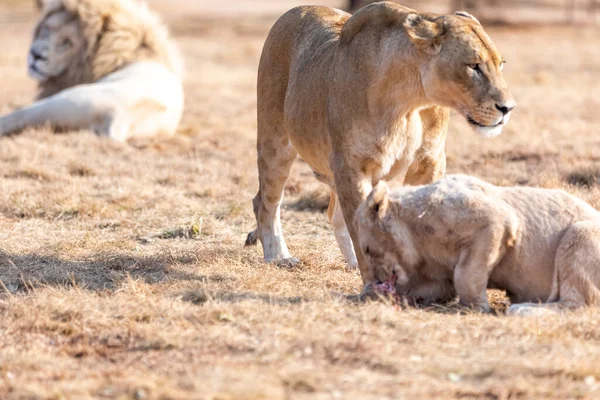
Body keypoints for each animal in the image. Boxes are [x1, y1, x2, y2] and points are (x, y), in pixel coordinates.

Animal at [0, 0, 183, 142]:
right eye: (47, 29)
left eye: (67, 42)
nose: (35, 55)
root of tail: (123, 116)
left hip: (64, 101)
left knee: (16, 117)